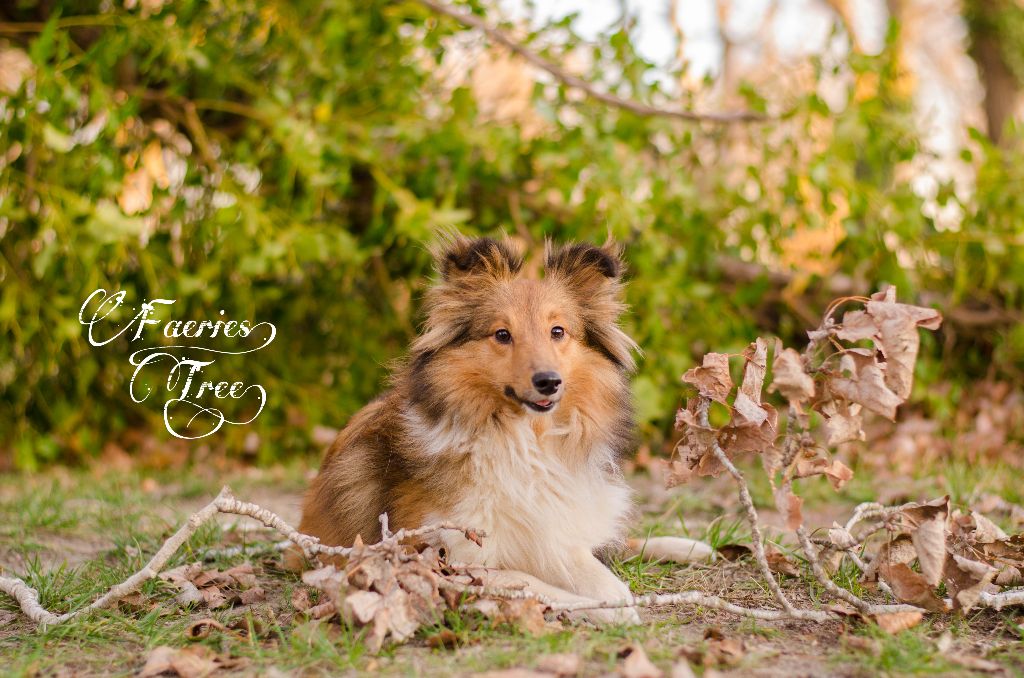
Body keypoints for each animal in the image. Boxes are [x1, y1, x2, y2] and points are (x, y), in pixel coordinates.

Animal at [299, 236, 663, 622]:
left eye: (558, 331)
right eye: (502, 334)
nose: (549, 382)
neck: (526, 439)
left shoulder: (554, 529)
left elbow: (585, 564)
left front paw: (614, 596)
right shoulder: (438, 554)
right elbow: (528, 582)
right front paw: (604, 607)